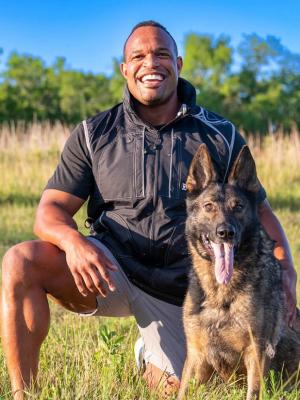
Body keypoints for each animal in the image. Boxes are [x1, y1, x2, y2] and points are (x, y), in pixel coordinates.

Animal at [178, 145, 300, 400]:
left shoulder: (257, 353)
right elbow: (183, 392)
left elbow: (253, 392)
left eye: (239, 207)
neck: (220, 295)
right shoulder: (195, 355)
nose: (225, 232)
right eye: (209, 207)